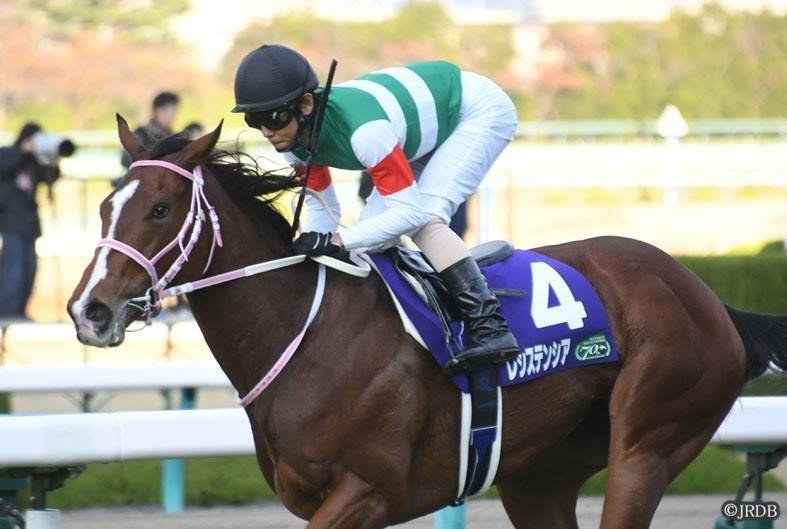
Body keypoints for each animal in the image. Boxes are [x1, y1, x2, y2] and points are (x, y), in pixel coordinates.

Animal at [68, 116, 787, 529]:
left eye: (161, 209)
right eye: (105, 204)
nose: (88, 310)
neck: (307, 335)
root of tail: (706, 294)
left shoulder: (370, 491)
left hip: (648, 442)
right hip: (538, 475)